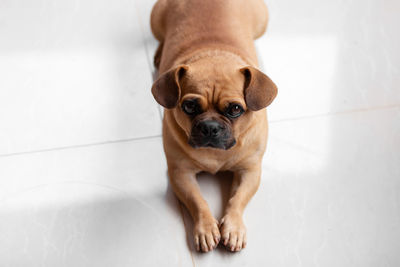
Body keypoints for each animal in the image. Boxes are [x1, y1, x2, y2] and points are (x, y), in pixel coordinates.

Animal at [148, 0, 276, 253]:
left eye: (235, 109)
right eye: (189, 106)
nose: (210, 127)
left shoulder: (249, 171)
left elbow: (237, 199)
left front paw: (233, 228)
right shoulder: (180, 174)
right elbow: (198, 201)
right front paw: (206, 228)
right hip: (155, 21)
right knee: (160, 39)